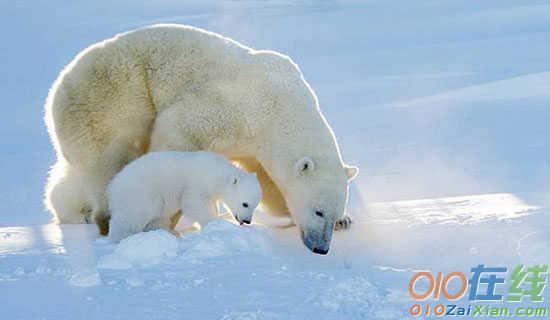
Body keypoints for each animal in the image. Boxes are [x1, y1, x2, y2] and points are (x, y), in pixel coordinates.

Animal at [45, 24, 360, 255]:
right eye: (318, 211)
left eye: (333, 212)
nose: (321, 249)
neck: (281, 107)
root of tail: (56, 89)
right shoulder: (231, 108)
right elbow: (175, 133)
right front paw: (169, 223)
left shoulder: (257, 144)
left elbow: (269, 182)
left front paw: (346, 221)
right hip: (108, 103)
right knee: (106, 162)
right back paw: (105, 218)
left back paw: (74, 212)